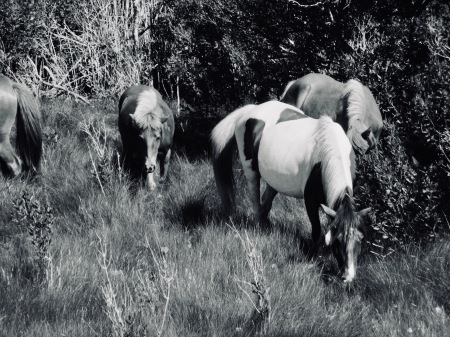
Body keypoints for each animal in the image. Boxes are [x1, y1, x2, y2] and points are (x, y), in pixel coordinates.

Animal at [213, 101, 370, 282]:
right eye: (338, 240)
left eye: (360, 238)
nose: (348, 276)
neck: (327, 155)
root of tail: (251, 109)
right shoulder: (310, 202)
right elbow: (317, 232)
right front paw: (314, 259)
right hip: (250, 171)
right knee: (256, 203)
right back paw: (260, 227)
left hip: (274, 180)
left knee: (266, 203)